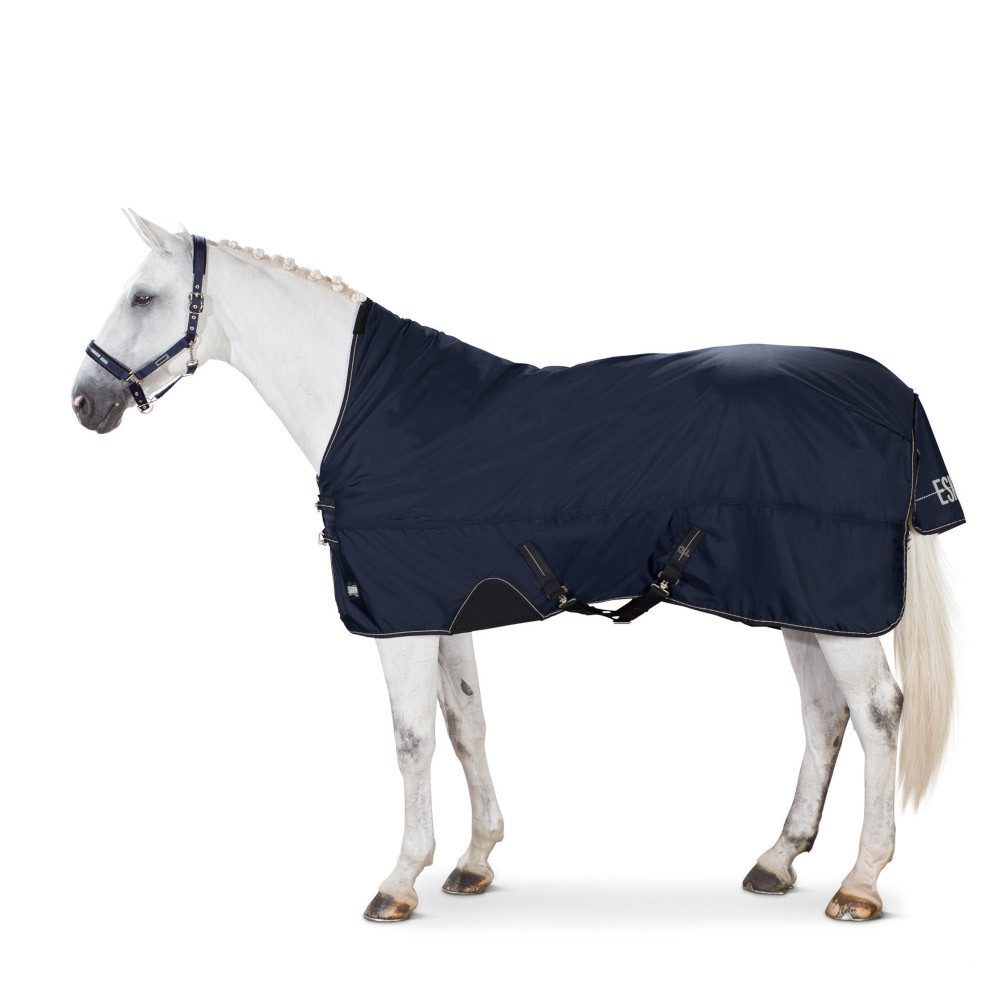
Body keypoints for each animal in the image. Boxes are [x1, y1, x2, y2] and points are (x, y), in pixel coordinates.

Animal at [72, 211, 962, 923]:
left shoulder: (400, 620)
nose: (84, 402)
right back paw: (778, 860)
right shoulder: (444, 608)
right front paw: (474, 860)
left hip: (836, 607)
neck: (369, 407)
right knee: (824, 715)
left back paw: (861, 883)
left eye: (142, 298)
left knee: (877, 713)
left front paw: (400, 879)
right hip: (801, 602)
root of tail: (895, 396)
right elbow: (466, 727)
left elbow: (412, 741)